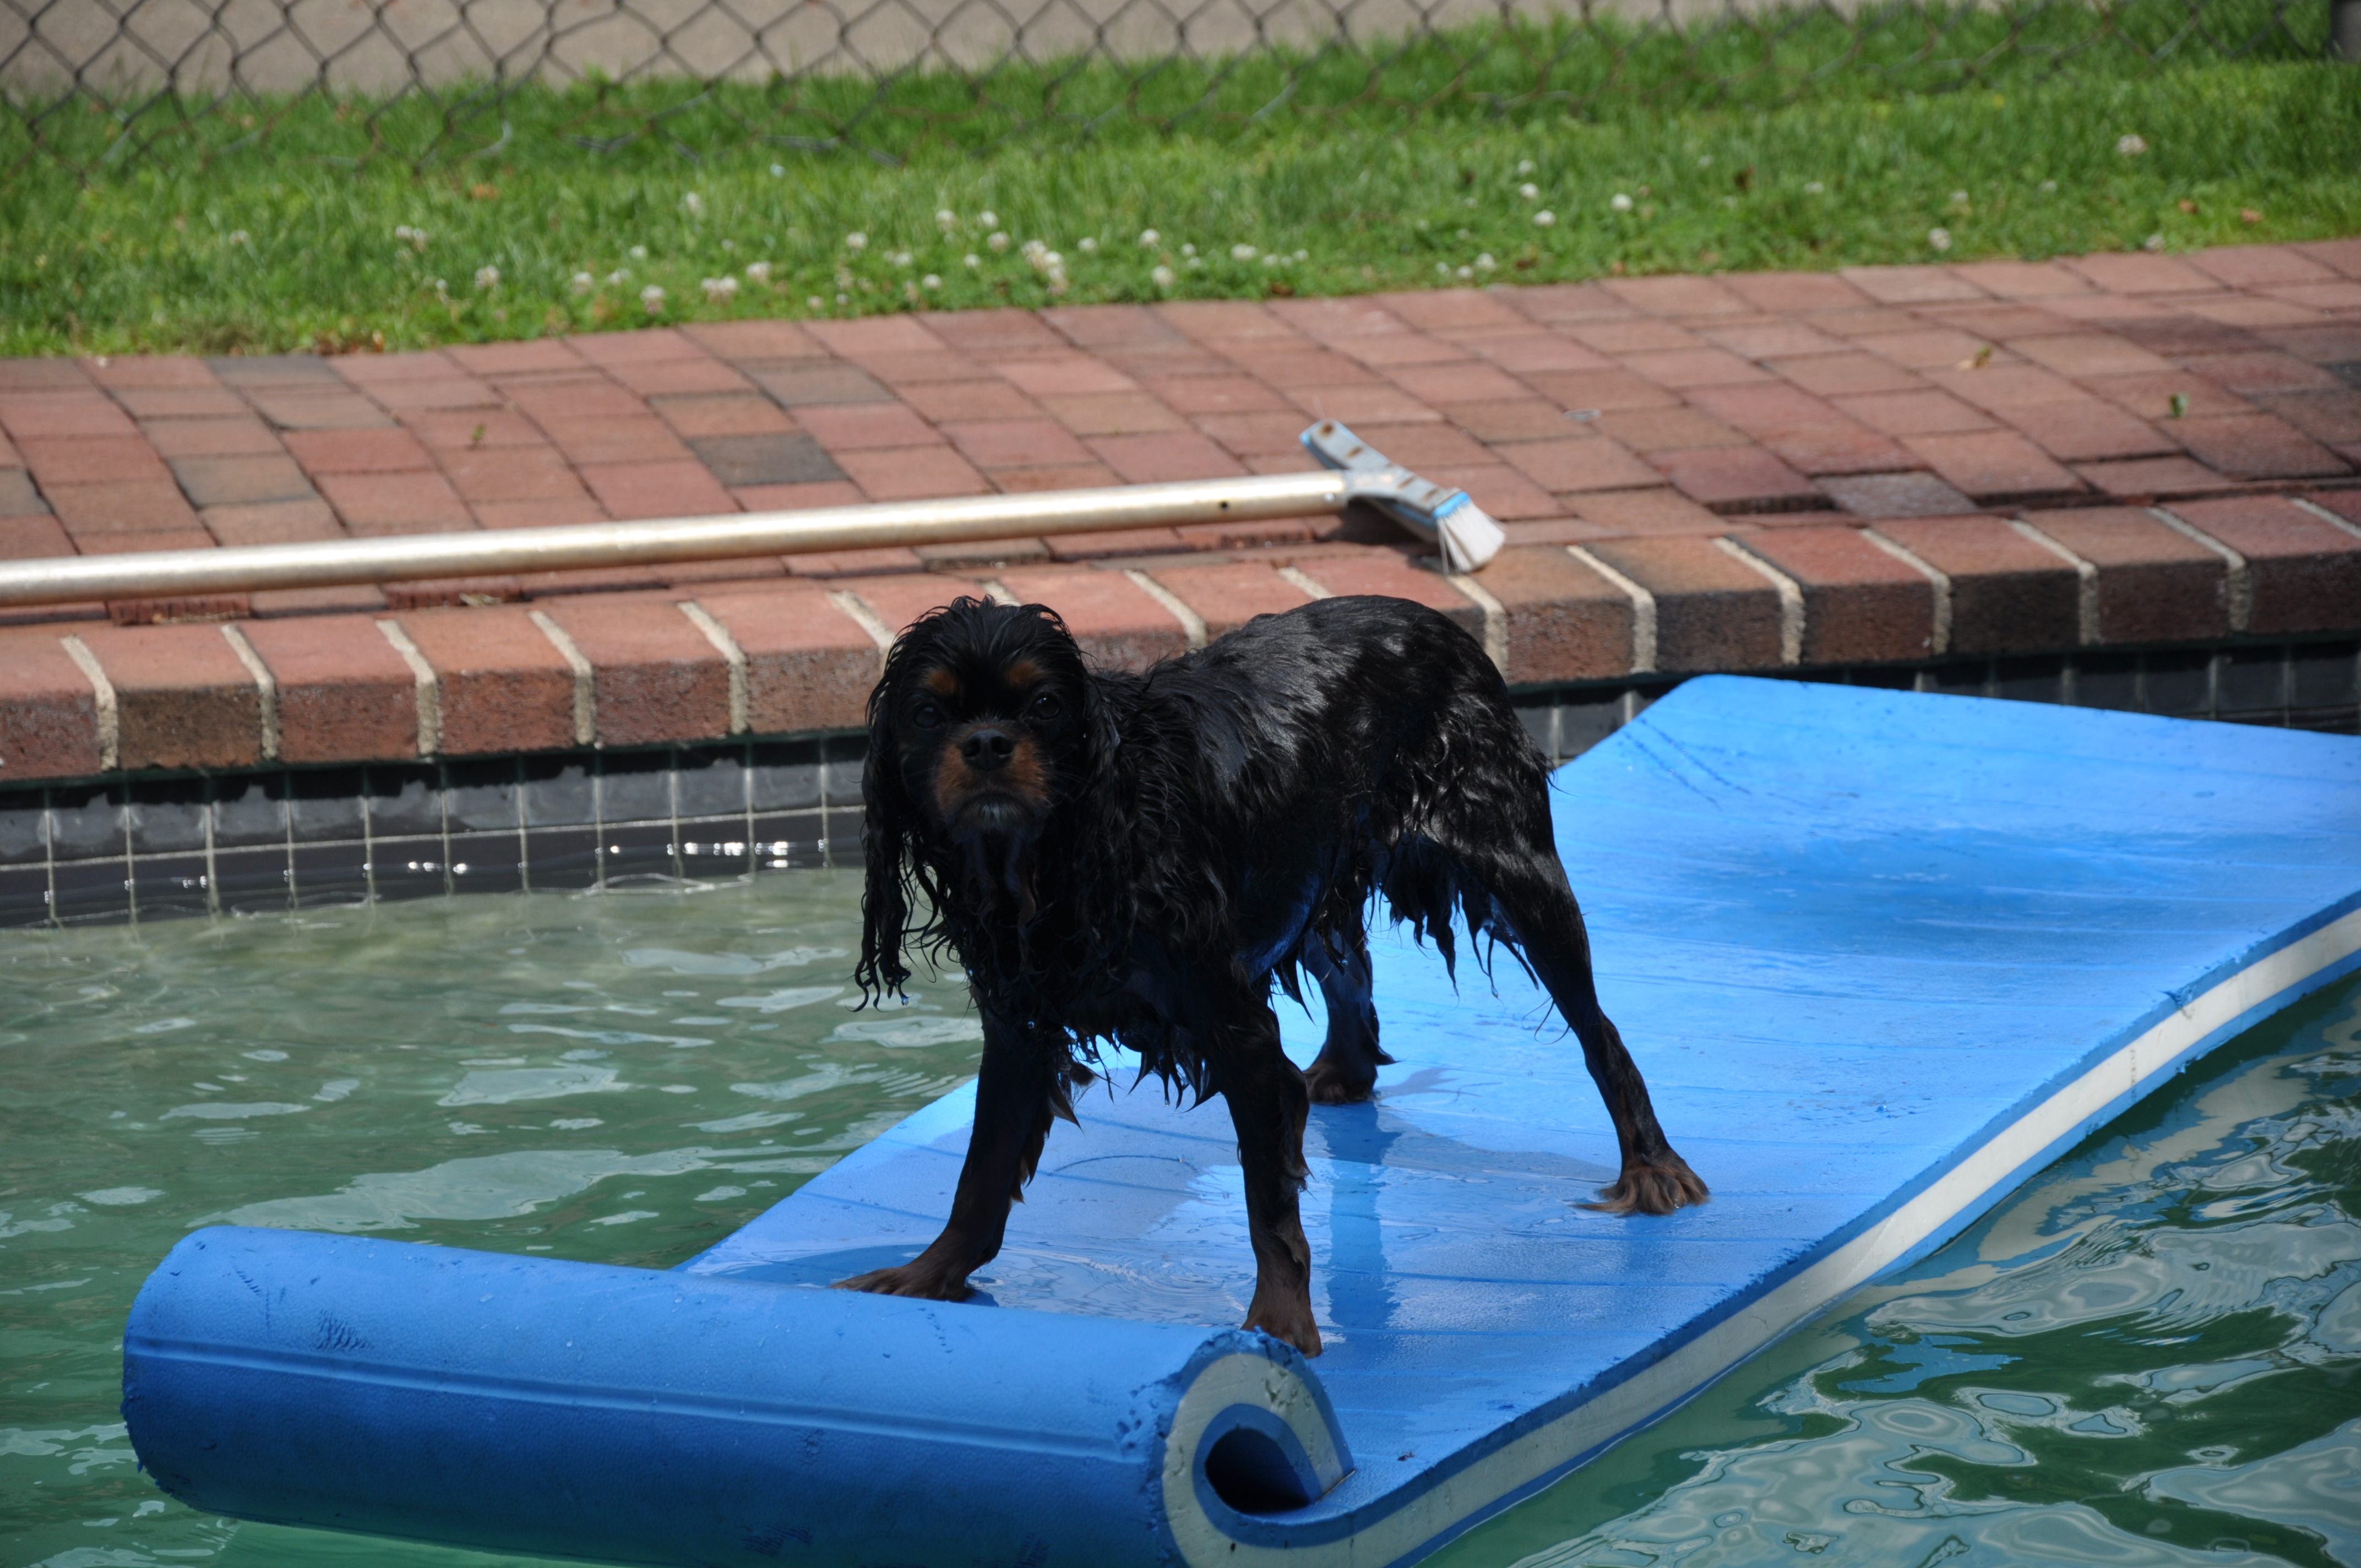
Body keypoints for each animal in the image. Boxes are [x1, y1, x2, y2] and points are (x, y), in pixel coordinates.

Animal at [839, 593, 1705, 1355]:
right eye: (929, 714)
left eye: (1045, 705)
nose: (987, 744)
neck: (1061, 852)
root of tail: (1439, 621)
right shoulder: (1020, 1022)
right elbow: (982, 1168)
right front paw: (928, 1273)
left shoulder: (1234, 1025)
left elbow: (1268, 1203)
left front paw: (1280, 1326)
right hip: (1316, 865)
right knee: (1350, 970)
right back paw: (1344, 1073)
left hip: (1512, 864)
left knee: (1599, 1031)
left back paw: (1652, 1167)